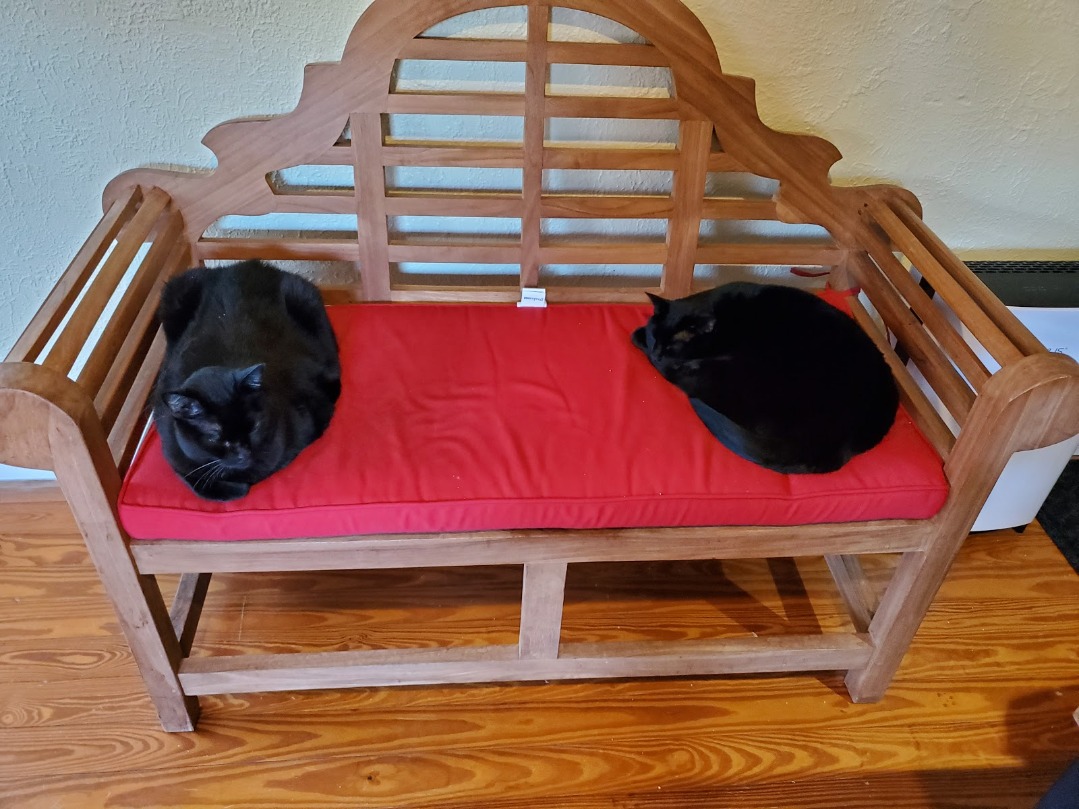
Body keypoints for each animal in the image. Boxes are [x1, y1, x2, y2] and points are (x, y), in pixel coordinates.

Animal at [152, 260, 341, 501]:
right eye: (215, 436)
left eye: (255, 426)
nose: (243, 453)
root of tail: (241, 265)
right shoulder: (173, 449)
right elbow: (203, 483)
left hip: (306, 301)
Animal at [632, 282, 899, 474]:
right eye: (656, 337)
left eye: (672, 347)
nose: (657, 354)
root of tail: (839, 442)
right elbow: (636, 334)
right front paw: (641, 336)